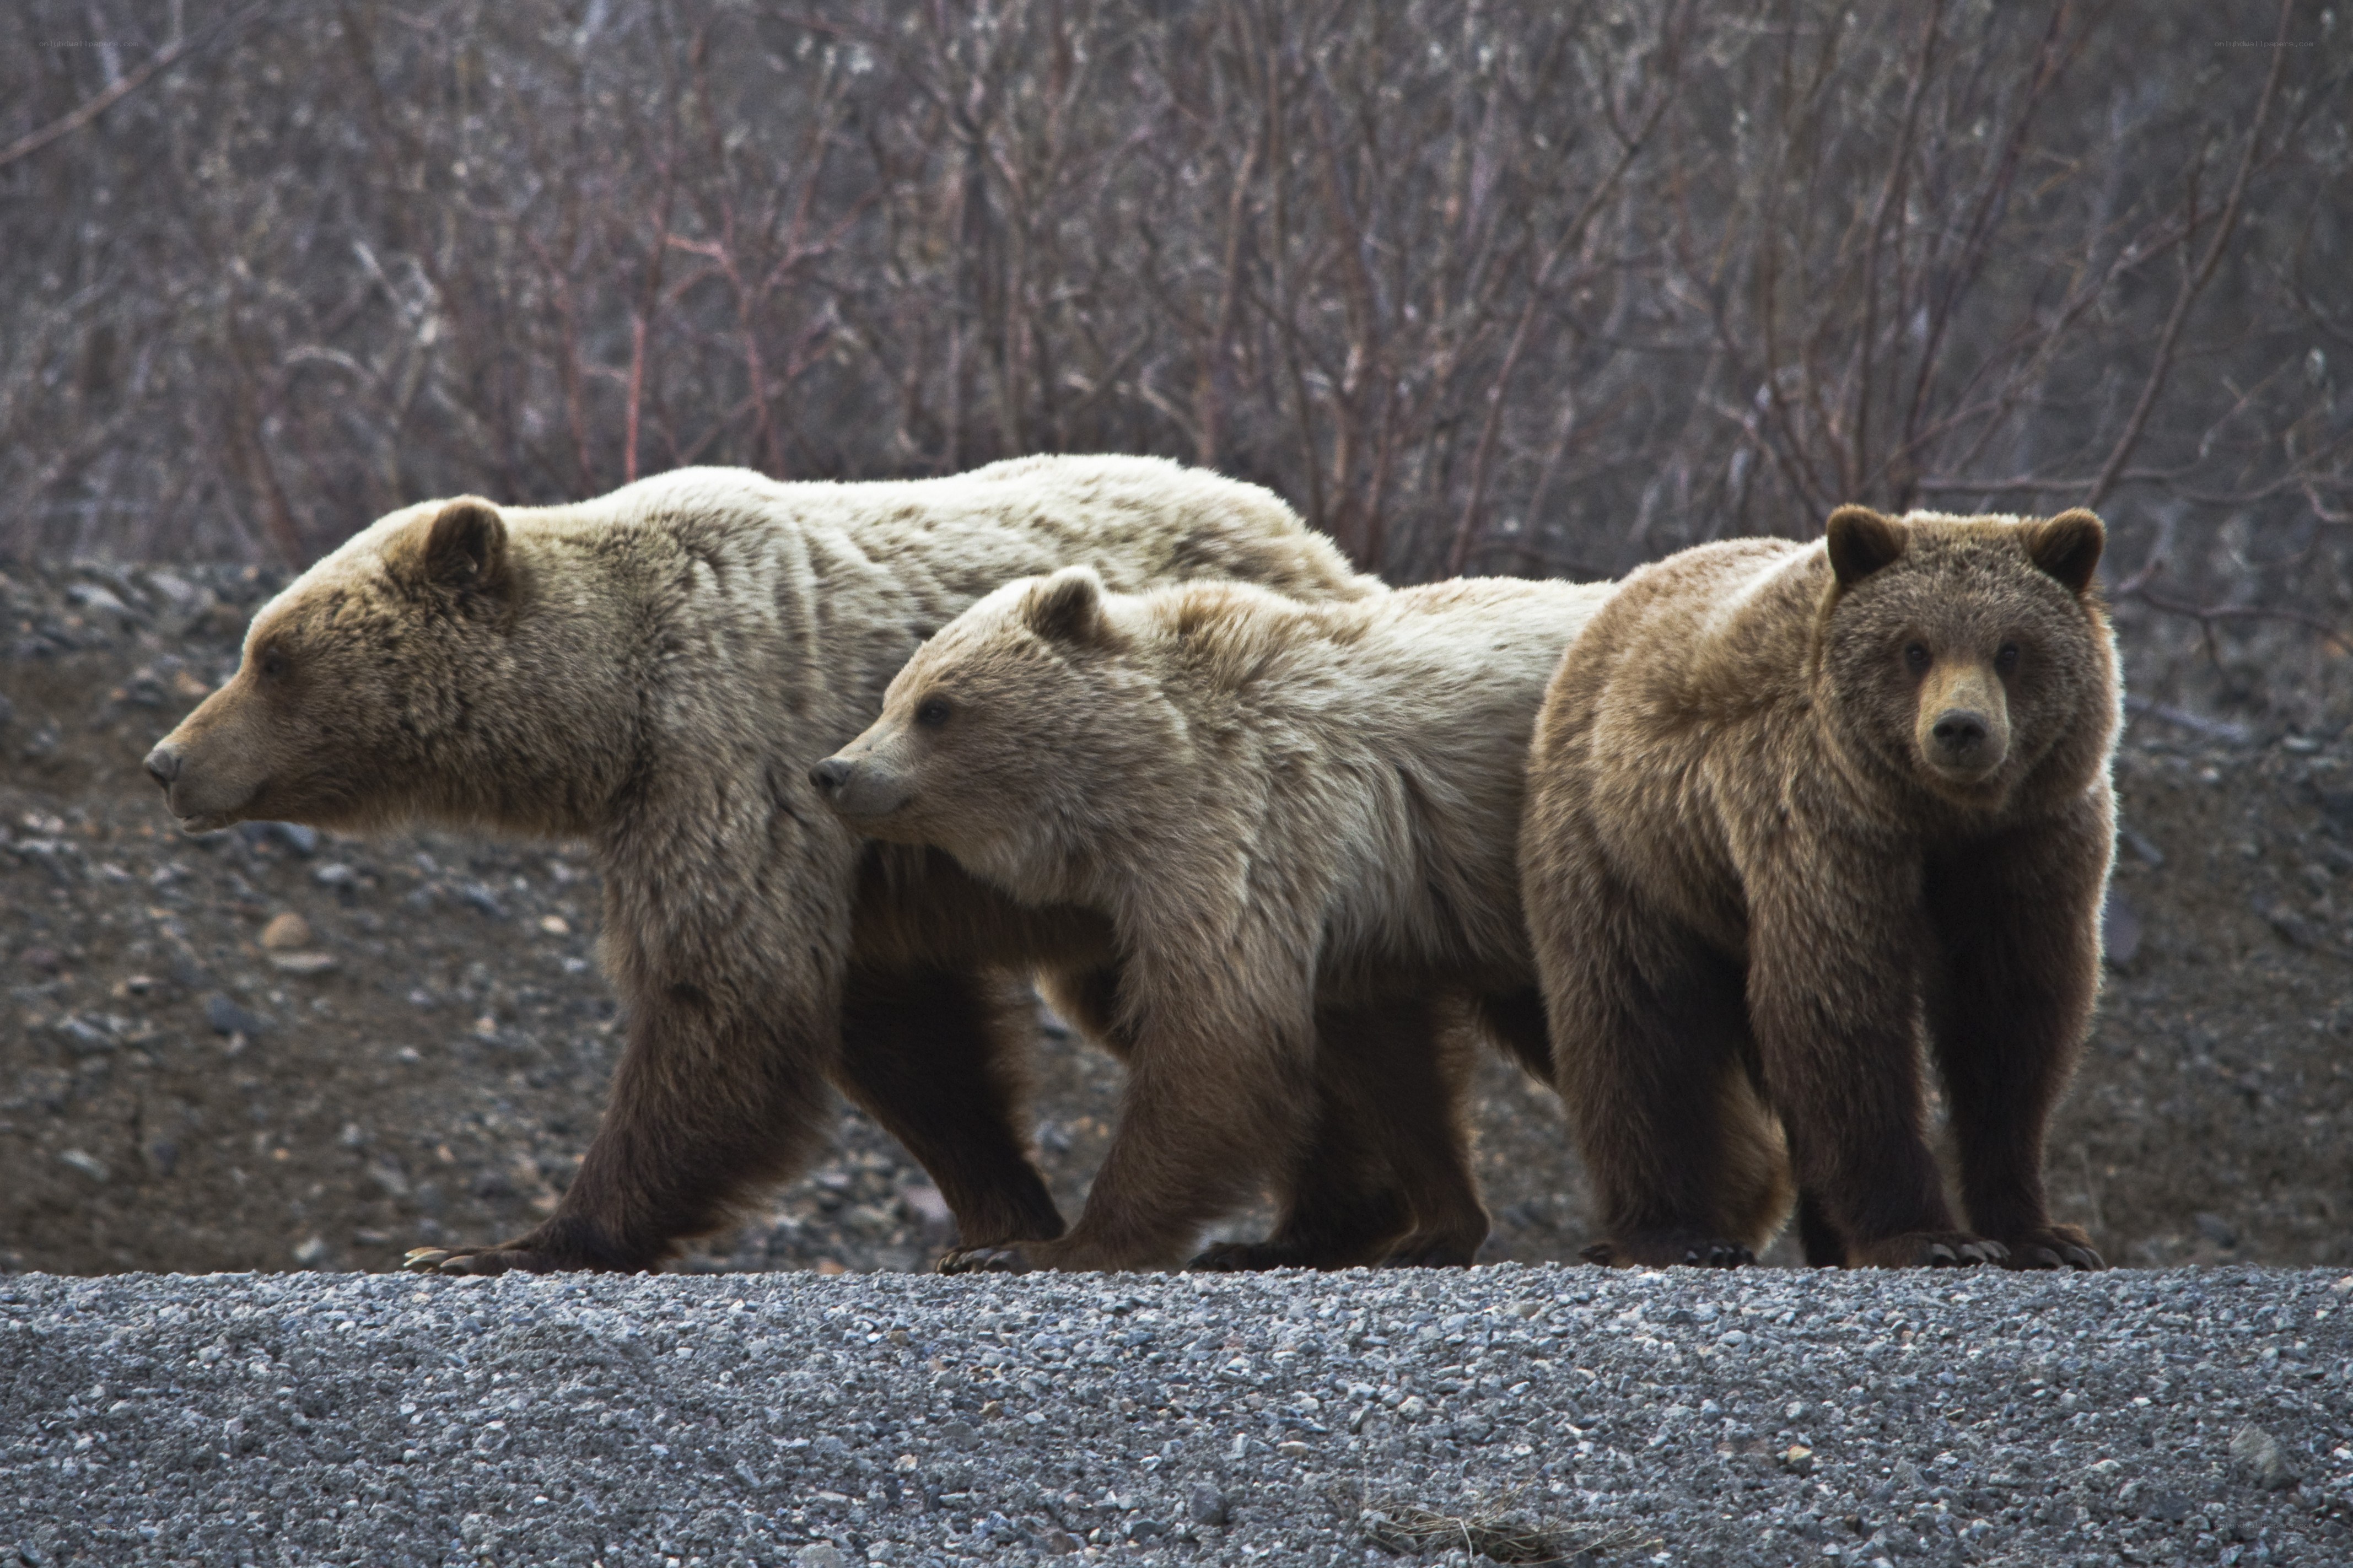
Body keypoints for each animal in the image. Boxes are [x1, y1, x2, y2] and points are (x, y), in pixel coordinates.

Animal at [144, 454, 1409, 1274]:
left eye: (271, 655)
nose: (166, 761)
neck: (611, 715)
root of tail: (1330, 552)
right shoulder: (856, 859)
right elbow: (902, 1039)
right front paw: (1002, 1215)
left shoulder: (733, 748)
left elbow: (725, 993)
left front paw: (502, 1242)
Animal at [809, 565, 1610, 1272]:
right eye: (892, 696)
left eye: (937, 706)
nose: (833, 770)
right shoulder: (1360, 921)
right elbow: (1387, 1065)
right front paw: (1409, 1230)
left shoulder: (1249, 832)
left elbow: (1215, 1035)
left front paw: (1042, 1247)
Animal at [1518, 506, 2118, 1271]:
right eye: (1914, 647)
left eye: (2011, 648)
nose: (1960, 728)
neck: (1936, 815)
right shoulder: (1822, 825)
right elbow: (1841, 1006)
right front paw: (1929, 1235)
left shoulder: (2027, 842)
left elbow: (2010, 1016)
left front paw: (2042, 1234)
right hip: (1629, 852)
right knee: (1637, 1029)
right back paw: (1677, 1232)